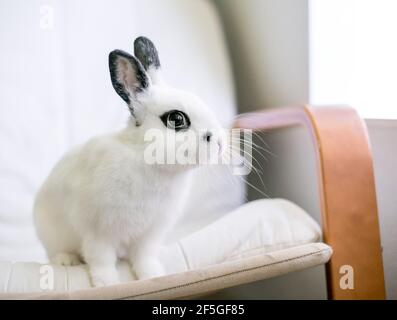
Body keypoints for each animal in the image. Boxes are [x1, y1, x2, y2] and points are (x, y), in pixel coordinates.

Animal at [33, 36, 226, 286]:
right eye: (176, 119)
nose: (220, 142)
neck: (145, 159)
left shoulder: (148, 235)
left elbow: (143, 257)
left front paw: (153, 276)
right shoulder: (98, 231)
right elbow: (101, 259)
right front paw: (107, 284)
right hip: (54, 235)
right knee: (57, 253)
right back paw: (67, 261)